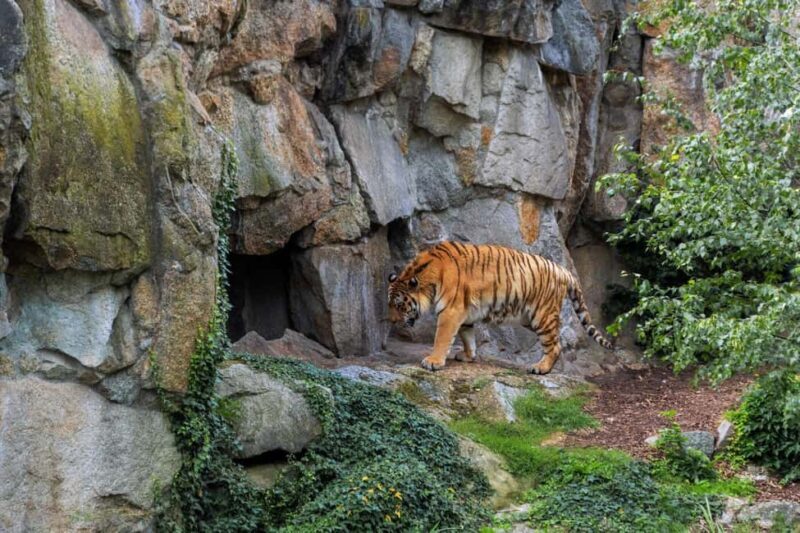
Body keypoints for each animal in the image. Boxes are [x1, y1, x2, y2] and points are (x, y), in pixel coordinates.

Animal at [387, 241, 613, 374]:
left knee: (555, 346)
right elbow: (467, 337)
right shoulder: (464, 314)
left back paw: (540, 368)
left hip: (542, 316)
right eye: (390, 304)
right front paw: (468, 356)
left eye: (400, 305)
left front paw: (433, 361)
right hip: (529, 318)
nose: (392, 321)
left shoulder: (450, 311)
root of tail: (562, 270)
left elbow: (441, 338)